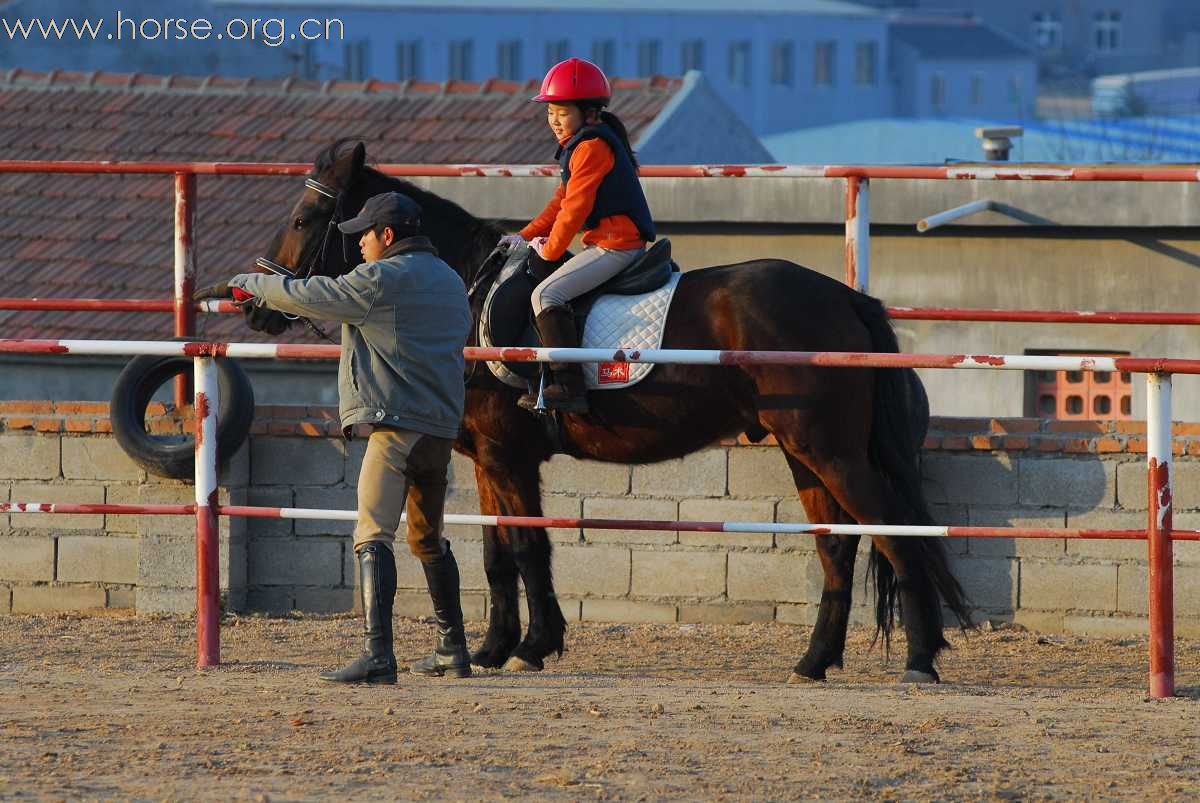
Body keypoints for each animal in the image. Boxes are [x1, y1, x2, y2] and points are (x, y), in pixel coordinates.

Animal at [248, 141, 969, 681]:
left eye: (307, 219)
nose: (255, 306)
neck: (469, 292)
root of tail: (844, 297)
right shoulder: (487, 458)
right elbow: (498, 552)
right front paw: (493, 647)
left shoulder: (508, 456)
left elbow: (528, 545)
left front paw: (532, 646)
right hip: (804, 454)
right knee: (838, 549)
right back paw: (814, 661)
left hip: (832, 452)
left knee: (894, 532)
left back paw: (919, 659)